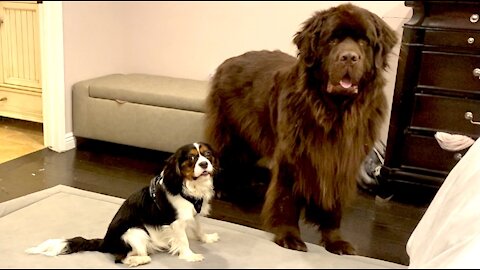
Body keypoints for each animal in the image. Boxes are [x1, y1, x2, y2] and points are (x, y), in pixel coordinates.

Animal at [25, 142, 220, 266]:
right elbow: (184, 240)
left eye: (207, 155)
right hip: (136, 232)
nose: (205, 164)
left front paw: (207, 238)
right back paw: (141, 260)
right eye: (192, 158)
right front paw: (191, 256)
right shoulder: (176, 222)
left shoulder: (193, 213)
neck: (190, 187)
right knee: (121, 259)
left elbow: (199, 228)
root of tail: (105, 242)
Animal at [206, 3, 398, 254]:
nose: (349, 57)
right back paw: (222, 189)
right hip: (230, 134)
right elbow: (287, 199)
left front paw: (335, 240)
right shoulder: (293, 156)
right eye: (332, 40)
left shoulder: (342, 160)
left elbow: (333, 208)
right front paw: (289, 236)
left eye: (364, 41)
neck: (334, 111)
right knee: (225, 158)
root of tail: (228, 61)